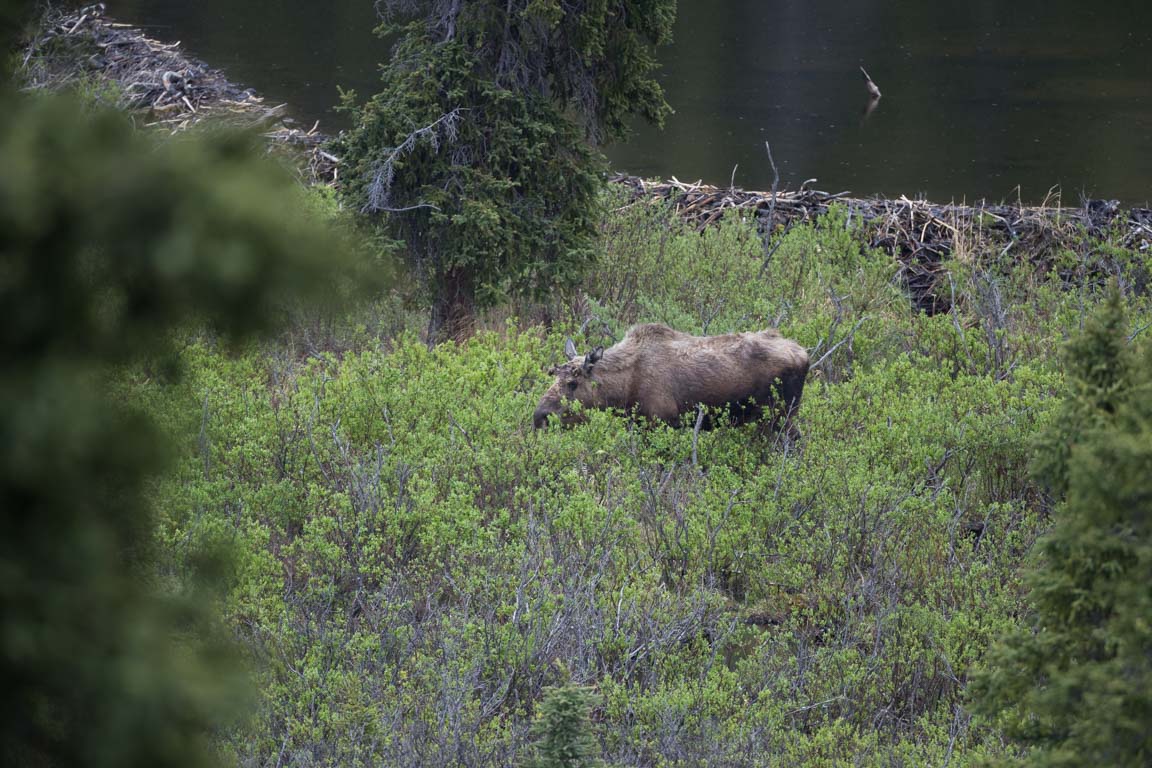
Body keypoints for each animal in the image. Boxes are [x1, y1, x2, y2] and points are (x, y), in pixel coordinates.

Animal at [532, 322, 811, 435]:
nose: (539, 417)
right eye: (553, 376)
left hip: (778, 417)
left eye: (573, 383)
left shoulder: (664, 423)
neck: (624, 391)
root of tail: (805, 355)